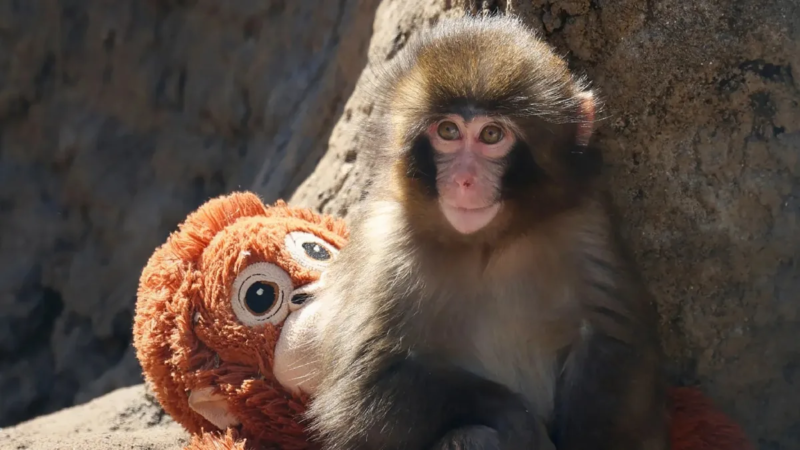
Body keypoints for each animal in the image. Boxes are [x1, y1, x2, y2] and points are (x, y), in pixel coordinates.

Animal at [304, 13, 670, 450]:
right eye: (448, 131)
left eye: (492, 135)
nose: (464, 179)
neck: (488, 243)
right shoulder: (386, 245)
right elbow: (362, 393)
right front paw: (517, 419)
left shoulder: (584, 222)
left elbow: (612, 341)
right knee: (472, 435)